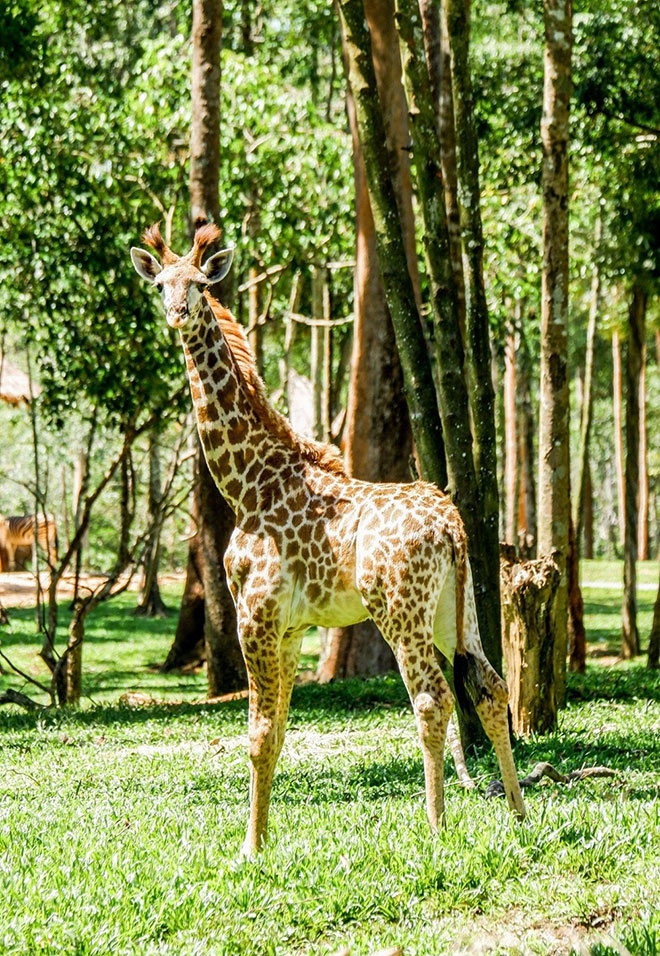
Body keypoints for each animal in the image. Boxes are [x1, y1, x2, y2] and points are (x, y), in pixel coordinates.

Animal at [130, 224, 524, 860]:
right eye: (162, 283)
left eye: (199, 285)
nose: (177, 313)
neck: (247, 483)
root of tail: (454, 527)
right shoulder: (291, 628)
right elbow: (278, 732)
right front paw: (262, 839)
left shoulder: (255, 614)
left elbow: (258, 733)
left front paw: (249, 849)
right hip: (455, 607)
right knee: (489, 685)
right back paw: (517, 813)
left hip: (399, 610)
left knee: (433, 698)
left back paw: (437, 830)